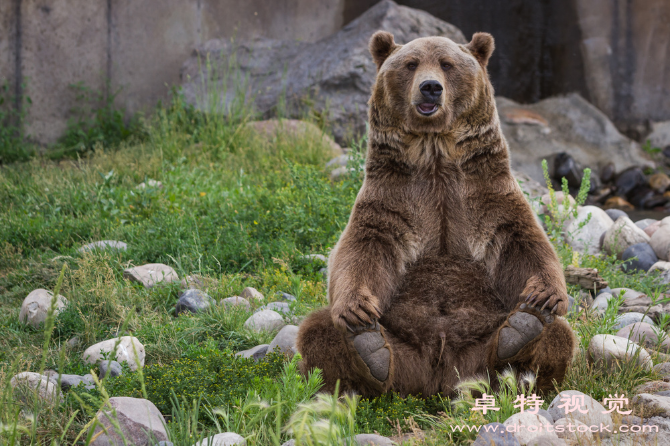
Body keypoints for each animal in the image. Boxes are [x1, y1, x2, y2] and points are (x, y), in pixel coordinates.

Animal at [300, 30, 576, 398]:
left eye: (447, 64)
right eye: (410, 63)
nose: (430, 87)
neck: (435, 156)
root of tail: (439, 375)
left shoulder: (487, 194)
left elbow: (523, 243)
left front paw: (544, 296)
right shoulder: (392, 199)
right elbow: (362, 250)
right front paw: (356, 310)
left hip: (478, 346)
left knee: (558, 335)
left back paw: (522, 330)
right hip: (403, 346)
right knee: (318, 329)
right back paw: (369, 351)